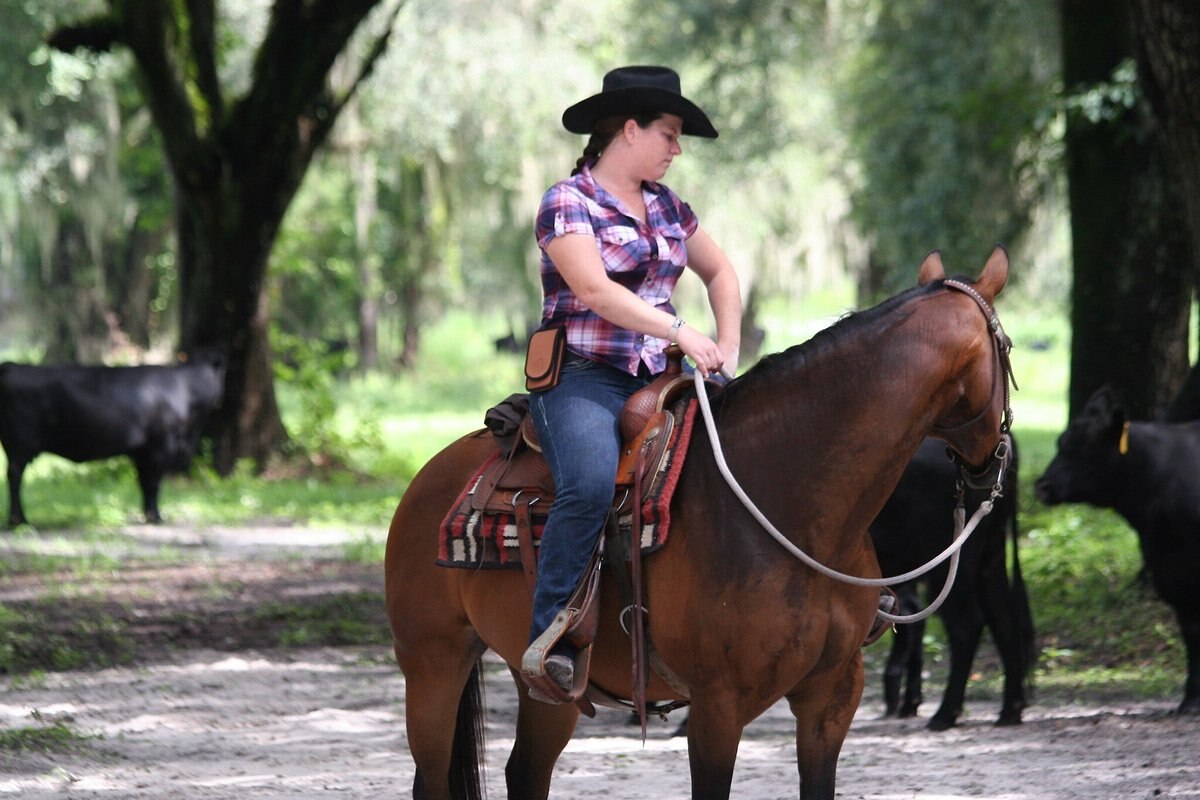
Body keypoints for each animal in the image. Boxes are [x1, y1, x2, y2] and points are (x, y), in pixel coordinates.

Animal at [0, 352, 224, 527]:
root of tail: (12, 366)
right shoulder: (159, 447)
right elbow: (153, 484)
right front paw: (156, 517)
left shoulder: (141, 452)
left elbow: (144, 483)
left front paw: (148, 514)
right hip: (20, 446)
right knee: (15, 478)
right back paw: (18, 520)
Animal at [384, 247, 1012, 796]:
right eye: (1007, 350)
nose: (991, 476)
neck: (786, 496)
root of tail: (432, 473)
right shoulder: (717, 707)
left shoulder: (832, 695)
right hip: (433, 664)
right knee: (431, 780)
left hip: (538, 683)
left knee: (525, 773)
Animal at [868, 438, 1036, 734]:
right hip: (989, 560)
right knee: (1003, 620)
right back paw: (1010, 710)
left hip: (949, 563)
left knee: (965, 624)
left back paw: (945, 714)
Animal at [1036, 388, 1200, 714]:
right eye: (1061, 441)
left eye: (1087, 446)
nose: (1043, 486)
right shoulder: (1169, 570)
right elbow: (1191, 632)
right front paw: (1190, 699)